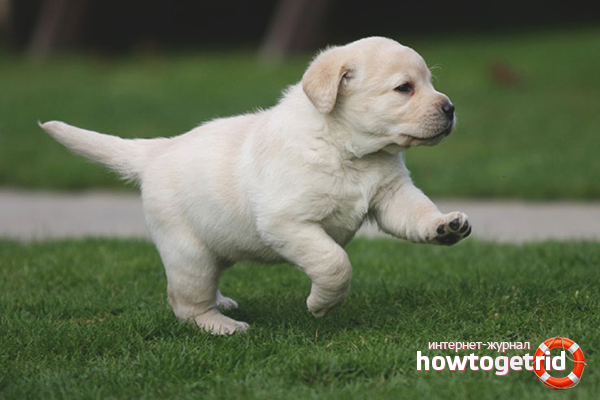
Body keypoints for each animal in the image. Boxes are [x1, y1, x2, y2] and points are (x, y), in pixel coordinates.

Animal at [41, 37, 471, 335]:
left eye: (429, 82)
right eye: (404, 88)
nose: (451, 108)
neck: (347, 148)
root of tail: (157, 151)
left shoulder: (392, 194)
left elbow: (417, 212)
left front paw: (445, 225)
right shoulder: (287, 222)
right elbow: (334, 262)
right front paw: (322, 306)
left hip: (214, 246)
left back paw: (223, 305)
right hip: (188, 252)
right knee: (185, 302)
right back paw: (221, 325)